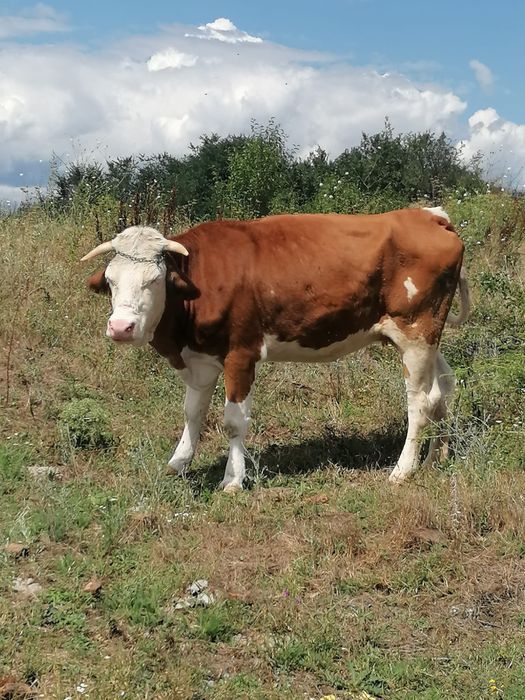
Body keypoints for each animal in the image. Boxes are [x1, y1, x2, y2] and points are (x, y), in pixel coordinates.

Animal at [81, 206, 470, 491]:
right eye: (111, 281)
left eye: (153, 280)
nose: (120, 328)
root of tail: (428, 214)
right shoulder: (201, 358)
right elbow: (192, 413)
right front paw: (178, 464)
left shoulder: (241, 353)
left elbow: (233, 421)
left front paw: (232, 479)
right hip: (426, 337)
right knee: (442, 390)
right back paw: (435, 458)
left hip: (415, 331)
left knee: (419, 402)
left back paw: (403, 470)